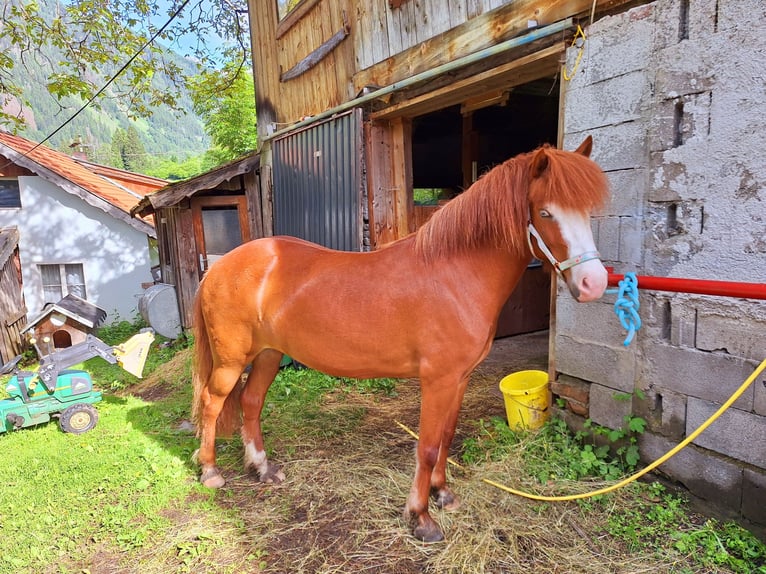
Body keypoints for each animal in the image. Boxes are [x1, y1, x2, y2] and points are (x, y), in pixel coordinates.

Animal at [192, 137, 612, 544]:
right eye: (545, 213)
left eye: (588, 211)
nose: (594, 284)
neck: (454, 275)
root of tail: (220, 266)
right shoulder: (437, 381)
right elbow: (426, 447)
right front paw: (421, 518)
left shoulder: (459, 379)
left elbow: (446, 436)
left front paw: (443, 494)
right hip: (232, 361)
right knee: (212, 403)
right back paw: (210, 471)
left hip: (268, 354)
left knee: (251, 402)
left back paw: (262, 468)